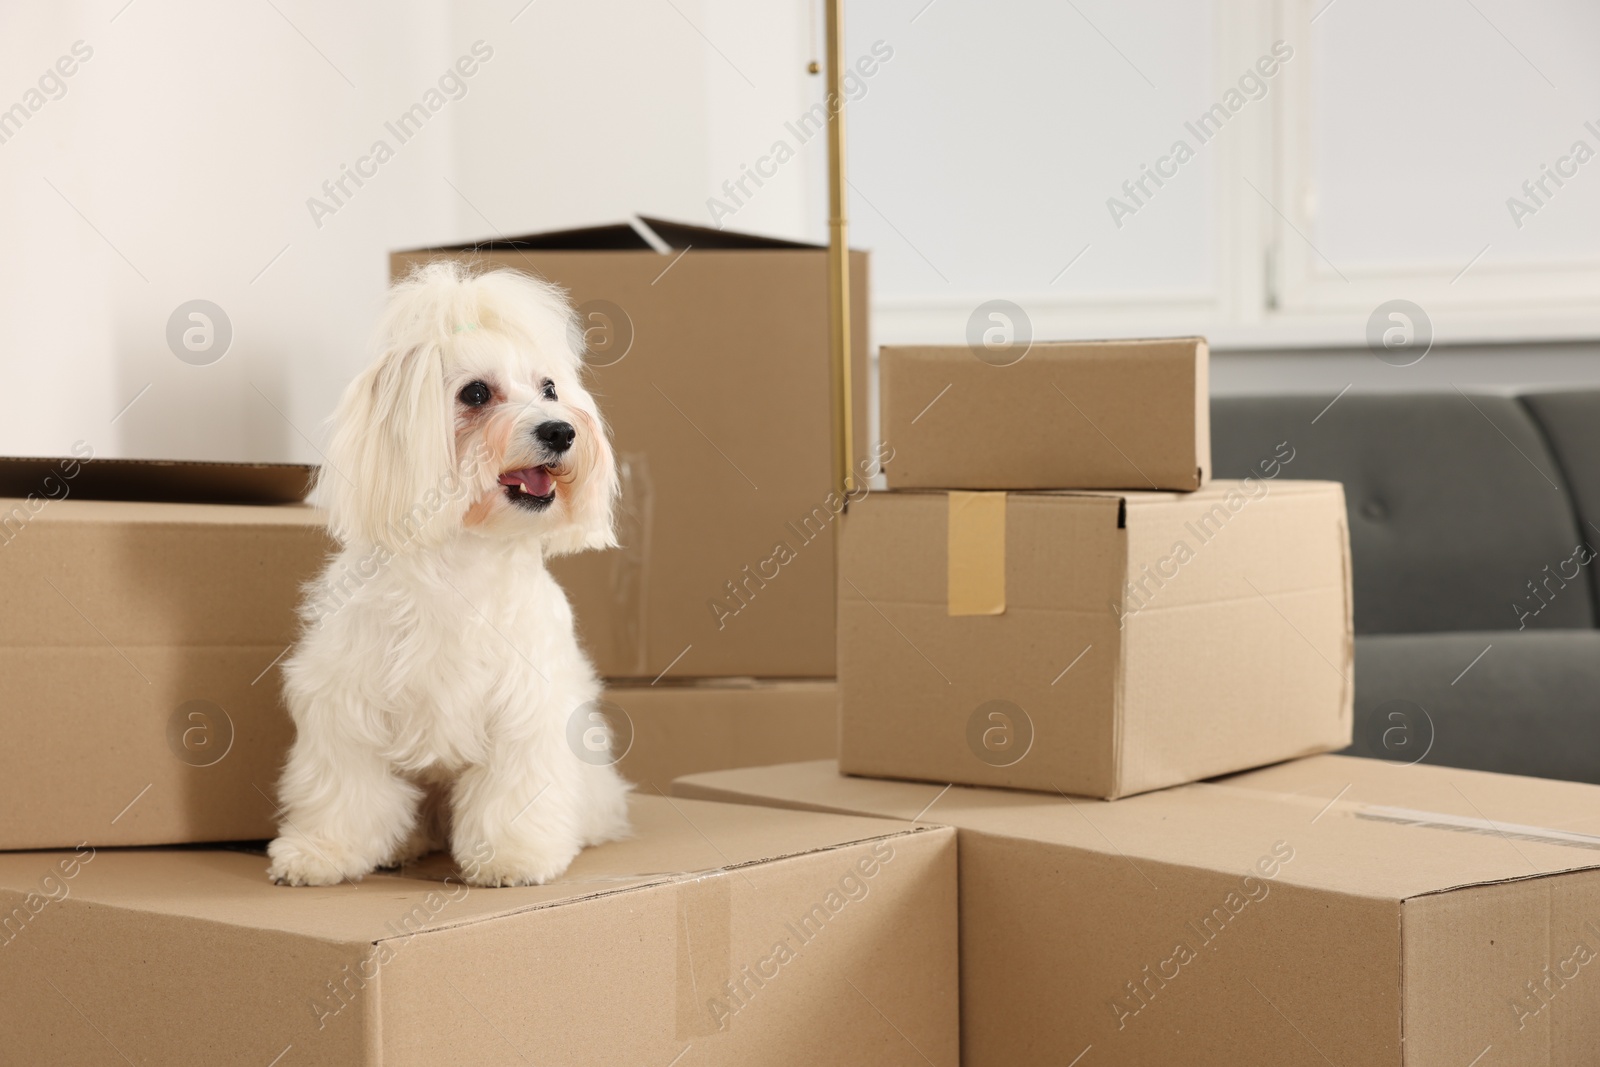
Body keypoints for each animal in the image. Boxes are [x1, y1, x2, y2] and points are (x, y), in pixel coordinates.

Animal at [267, 262, 630, 889]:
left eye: (549, 389)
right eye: (476, 393)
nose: (561, 430)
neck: (465, 555)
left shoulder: (526, 708)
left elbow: (514, 790)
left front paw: (513, 856)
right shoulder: (347, 703)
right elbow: (345, 788)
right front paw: (323, 851)